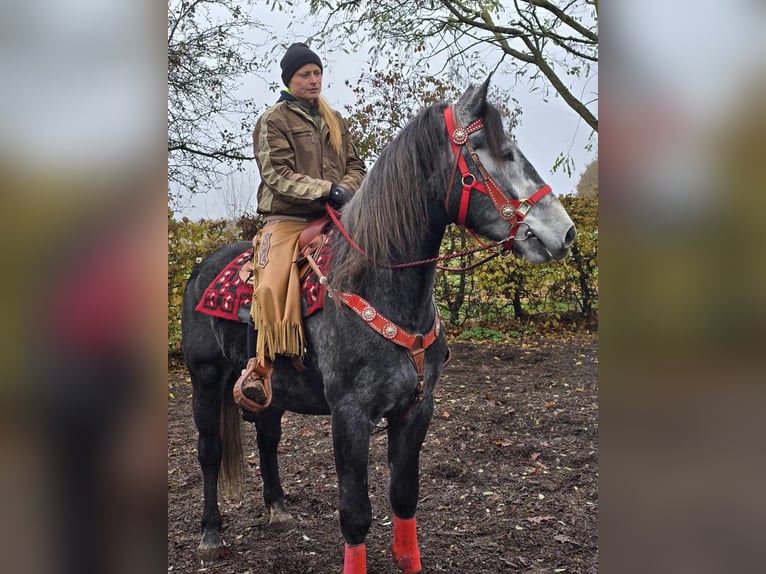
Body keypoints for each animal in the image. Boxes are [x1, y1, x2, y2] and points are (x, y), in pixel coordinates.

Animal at [180, 77, 576, 574]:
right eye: (497, 151)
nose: (564, 231)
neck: (374, 281)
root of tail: (201, 270)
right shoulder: (350, 415)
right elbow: (355, 514)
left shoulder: (415, 409)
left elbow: (404, 496)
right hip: (206, 379)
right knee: (209, 451)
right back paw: (210, 532)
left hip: (270, 390)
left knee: (268, 437)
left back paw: (277, 508)